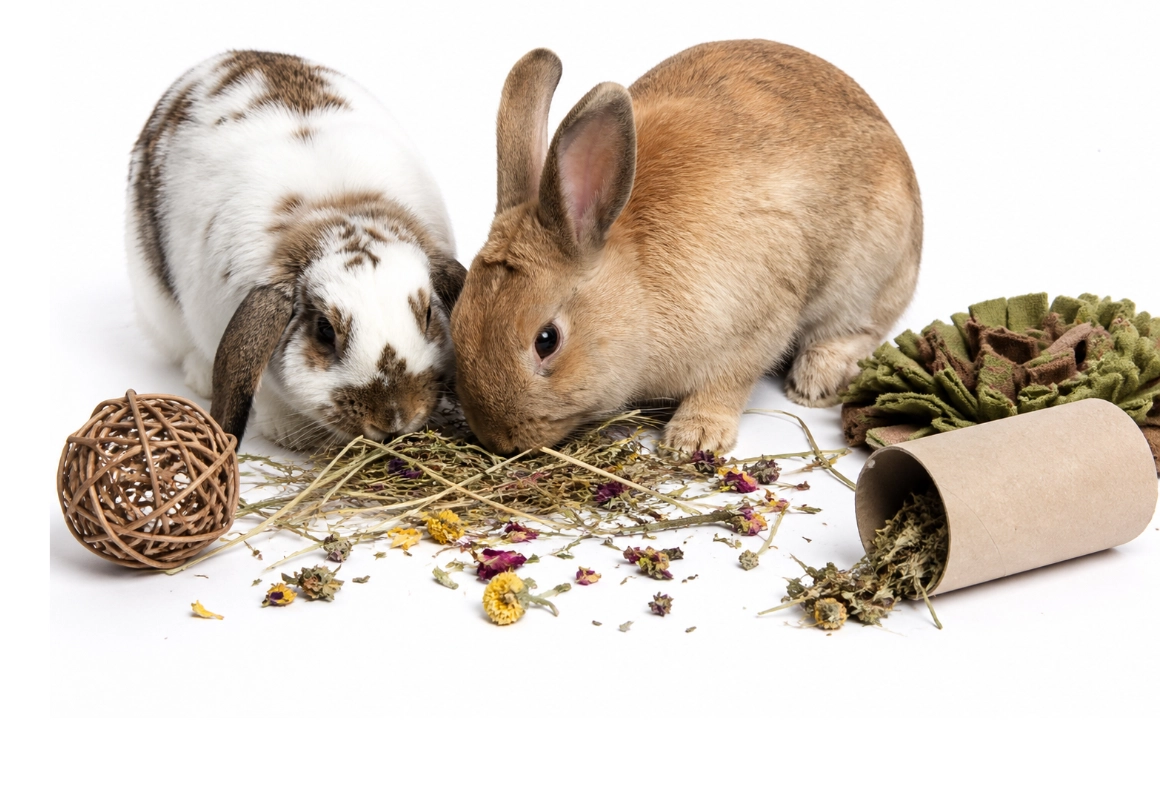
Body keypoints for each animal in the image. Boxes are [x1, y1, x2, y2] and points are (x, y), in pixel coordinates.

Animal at [126, 50, 465, 450]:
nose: (394, 417)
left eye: (428, 315)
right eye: (324, 330)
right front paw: (287, 432)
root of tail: (229, 56)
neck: (336, 208)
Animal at [450, 40, 922, 454]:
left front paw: (693, 439)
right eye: (457, 320)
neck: (636, 285)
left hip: (870, 269)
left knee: (862, 329)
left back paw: (814, 380)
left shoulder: (756, 324)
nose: (500, 440)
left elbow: (727, 383)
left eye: (546, 341)